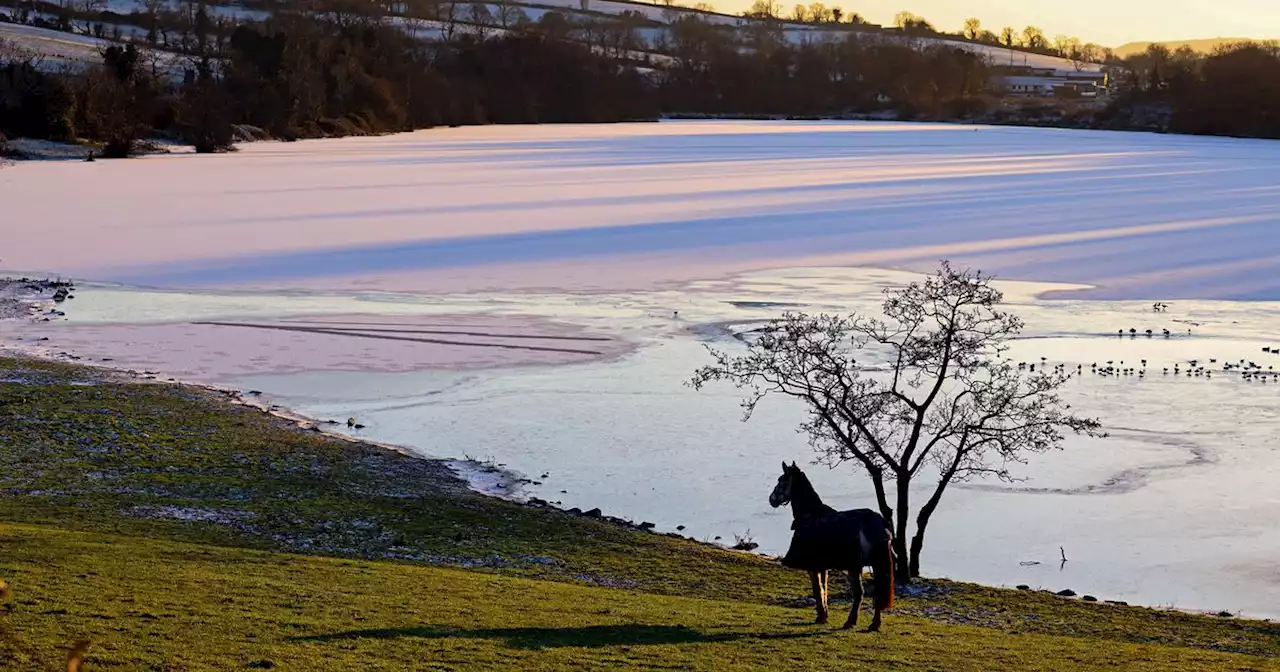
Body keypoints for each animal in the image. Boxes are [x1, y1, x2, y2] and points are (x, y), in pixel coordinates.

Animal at [762, 458, 896, 632]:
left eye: (782, 480)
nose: (772, 499)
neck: (809, 514)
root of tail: (878, 523)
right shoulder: (822, 565)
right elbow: (823, 588)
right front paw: (824, 614)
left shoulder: (812, 565)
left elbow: (817, 589)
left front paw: (821, 616)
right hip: (875, 563)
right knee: (877, 592)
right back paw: (874, 624)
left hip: (854, 566)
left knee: (859, 593)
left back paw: (850, 622)